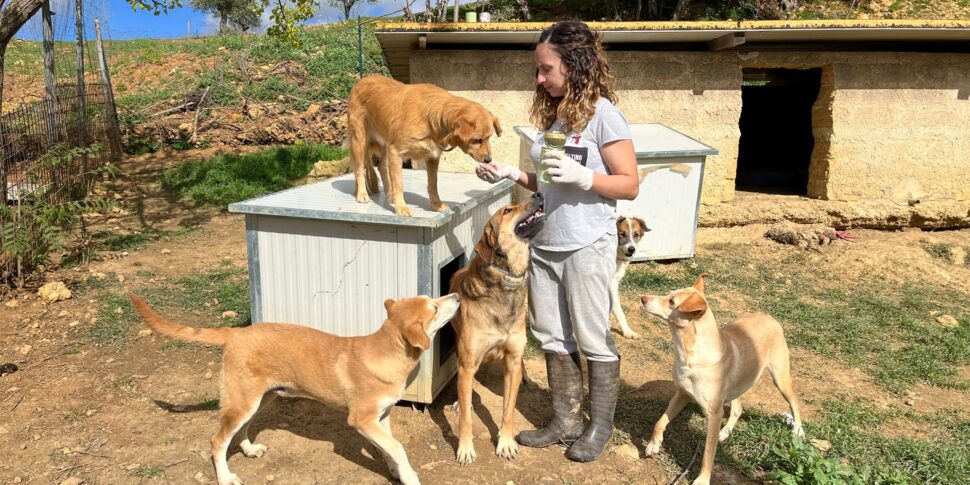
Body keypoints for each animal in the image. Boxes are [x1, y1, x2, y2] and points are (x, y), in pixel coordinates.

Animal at [129, 292, 458, 484]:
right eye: (433, 306)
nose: (455, 294)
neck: (387, 350)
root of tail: (235, 333)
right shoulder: (361, 420)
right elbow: (398, 448)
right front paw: (410, 477)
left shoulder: (382, 417)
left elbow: (391, 448)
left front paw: (397, 473)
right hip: (242, 401)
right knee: (218, 440)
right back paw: (225, 476)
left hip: (261, 399)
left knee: (243, 429)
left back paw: (249, 449)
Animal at [346, 75, 500, 216]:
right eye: (477, 140)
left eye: (489, 137)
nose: (488, 159)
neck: (431, 117)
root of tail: (362, 80)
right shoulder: (396, 151)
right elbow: (399, 183)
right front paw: (401, 207)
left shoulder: (432, 157)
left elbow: (433, 184)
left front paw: (436, 205)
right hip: (359, 140)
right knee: (359, 168)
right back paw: (362, 193)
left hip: (384, 144)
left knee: (382, 167)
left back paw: (389, 195)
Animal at [448, 193, 544, 466]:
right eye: (508, 210)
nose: (538, 194)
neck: (507, 280)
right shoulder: (467, 364)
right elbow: (466, 418)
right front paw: (465, 448)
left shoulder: (512, 361)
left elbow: (509, 410)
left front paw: (506, 442)